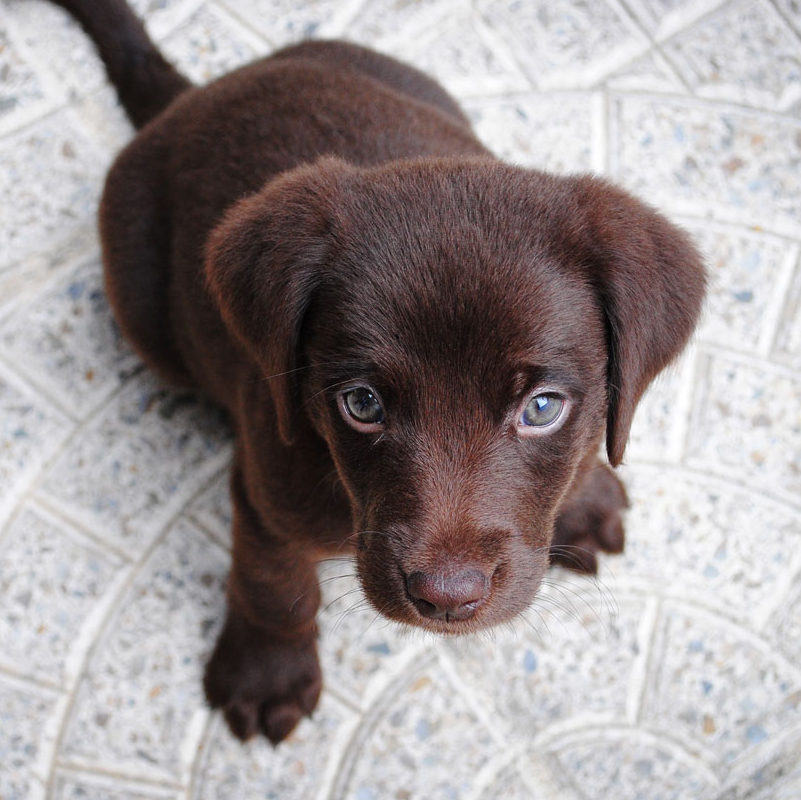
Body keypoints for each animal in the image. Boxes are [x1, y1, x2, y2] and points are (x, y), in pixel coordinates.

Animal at [51, 0, 700, 744]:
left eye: (541, 407)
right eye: (361, 404)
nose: (446, 597)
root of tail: (193, 96)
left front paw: (584, 495)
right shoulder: (267, 488)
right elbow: (274, 582)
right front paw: (266, 674)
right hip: (139, 299)